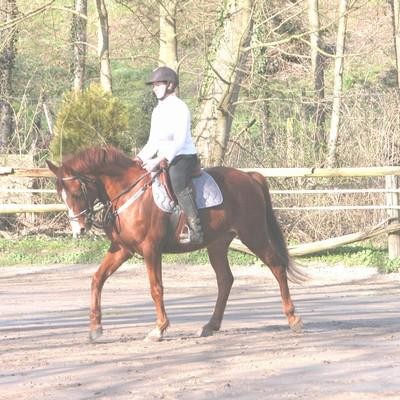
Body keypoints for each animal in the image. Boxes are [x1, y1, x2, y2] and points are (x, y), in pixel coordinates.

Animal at [46, 145, 304, 342]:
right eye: (61, 195)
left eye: (76, 192)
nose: (79, 229)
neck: (128, 193)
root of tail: (250, 177)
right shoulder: (122, 249)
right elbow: (97, 279)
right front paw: (95, 329)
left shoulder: (150, 249)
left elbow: (156, 288)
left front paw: (159, 329)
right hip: (218, 244)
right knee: (225, 280)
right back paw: (211, 325)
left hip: (254, 235)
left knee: (277, 267)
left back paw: (293, 319)